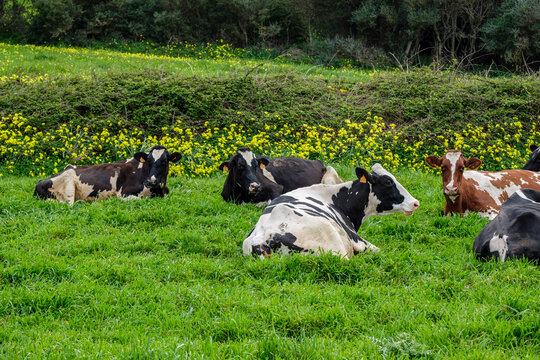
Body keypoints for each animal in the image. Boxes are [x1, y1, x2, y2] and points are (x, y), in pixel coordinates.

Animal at [33, 145, 181, 204]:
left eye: (164, 161)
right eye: (149, 161)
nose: (151, 181)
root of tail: (39, 182)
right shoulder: (125, 193)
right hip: (68, 185)